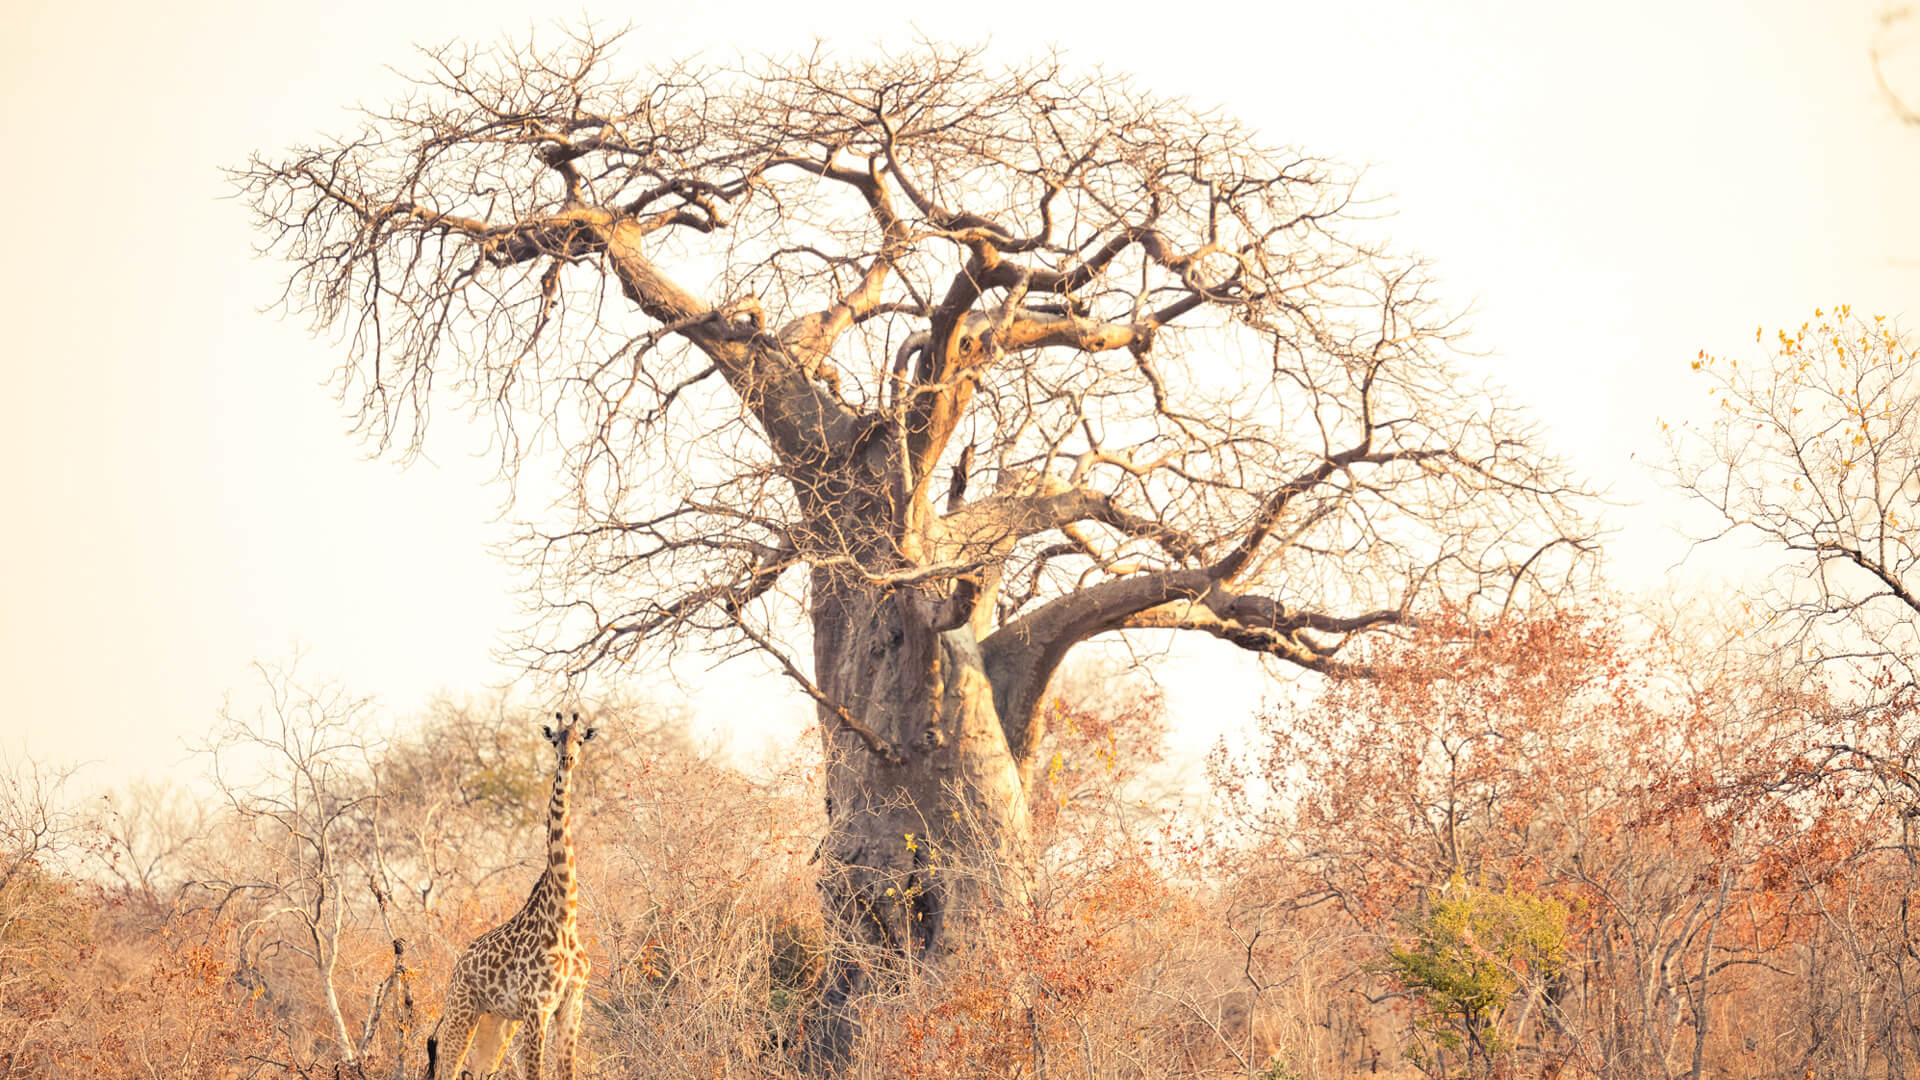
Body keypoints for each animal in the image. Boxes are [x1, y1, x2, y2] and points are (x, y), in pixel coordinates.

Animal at [426, 713, 595, 1080]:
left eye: (580, 739)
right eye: (555, 739)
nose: (567, 760)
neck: (564, 917)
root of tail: (458, 964)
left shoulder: (571, 1006)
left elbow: (567, 1072)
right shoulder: (537, 1007)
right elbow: (535, 1074)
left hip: (498, 1020)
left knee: (477, 1071)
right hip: (462, 1010)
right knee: (447, 1068)